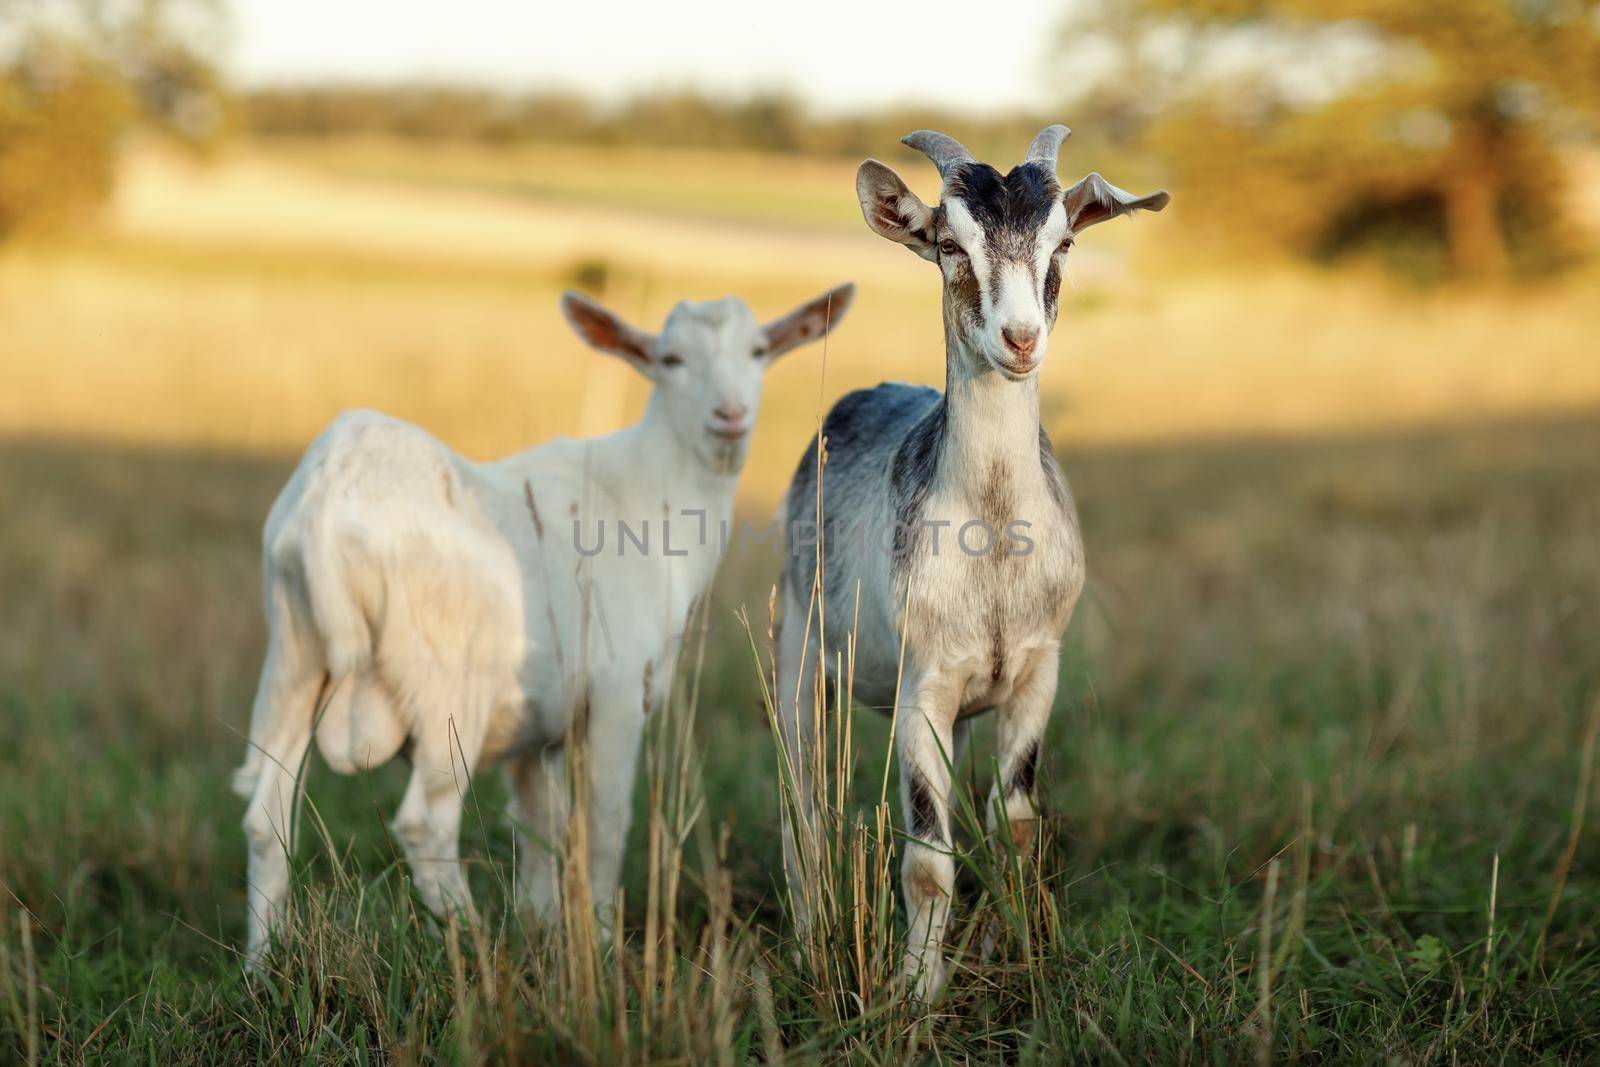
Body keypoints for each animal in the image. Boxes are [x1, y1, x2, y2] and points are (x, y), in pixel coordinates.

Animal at [233, 281, 851, 959]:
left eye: (759, 350)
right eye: (670, 359)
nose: (731, 415)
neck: (657, 492)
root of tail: (325, 513)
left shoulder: (539, 729)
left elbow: (541, 827)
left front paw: (543, 929)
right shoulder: (616, 693)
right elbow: (605, 823)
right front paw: (602, 944)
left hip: (292, 656)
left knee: (265, 813)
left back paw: (264, 964)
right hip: (451, 684)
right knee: (426, 822)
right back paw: (476, 947)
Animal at [771, 127, 1164, 1004]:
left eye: (1063, 241)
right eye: (950, 243)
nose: (1020, 339)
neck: (993, 543)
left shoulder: (1035, 675)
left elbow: (1015, 829)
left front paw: (1022, 957)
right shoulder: (925, 688)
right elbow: (927, 859)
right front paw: (916, 993)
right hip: (798, 659)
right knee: (801, 802)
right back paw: (810, 940)